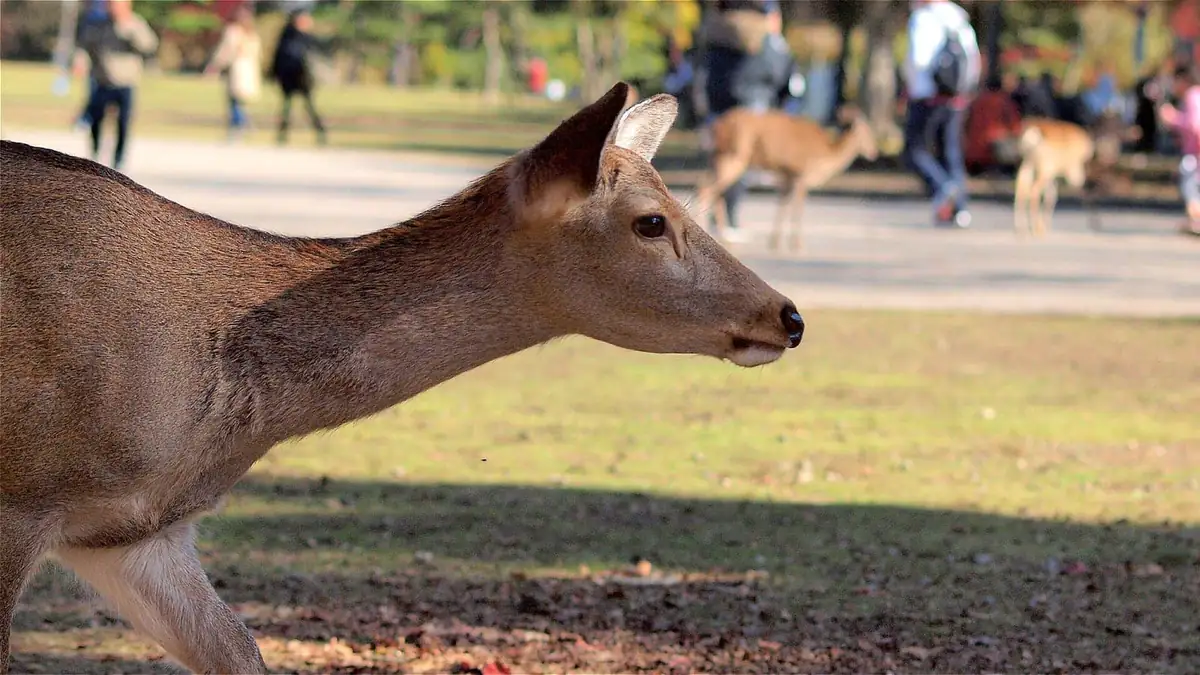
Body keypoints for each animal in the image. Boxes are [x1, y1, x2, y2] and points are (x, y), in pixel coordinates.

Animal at [693, 106, 879, 252]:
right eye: (866, 131)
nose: (874, 152)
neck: (824, 154)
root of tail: (715, 126)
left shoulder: (786, 176)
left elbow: (783, 205)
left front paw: (774, 242)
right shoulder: (800, 174)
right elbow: (797, 208)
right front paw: (797, 245)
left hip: (717, 157)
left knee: (709, 188)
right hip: (733, 157)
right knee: (709, 189)